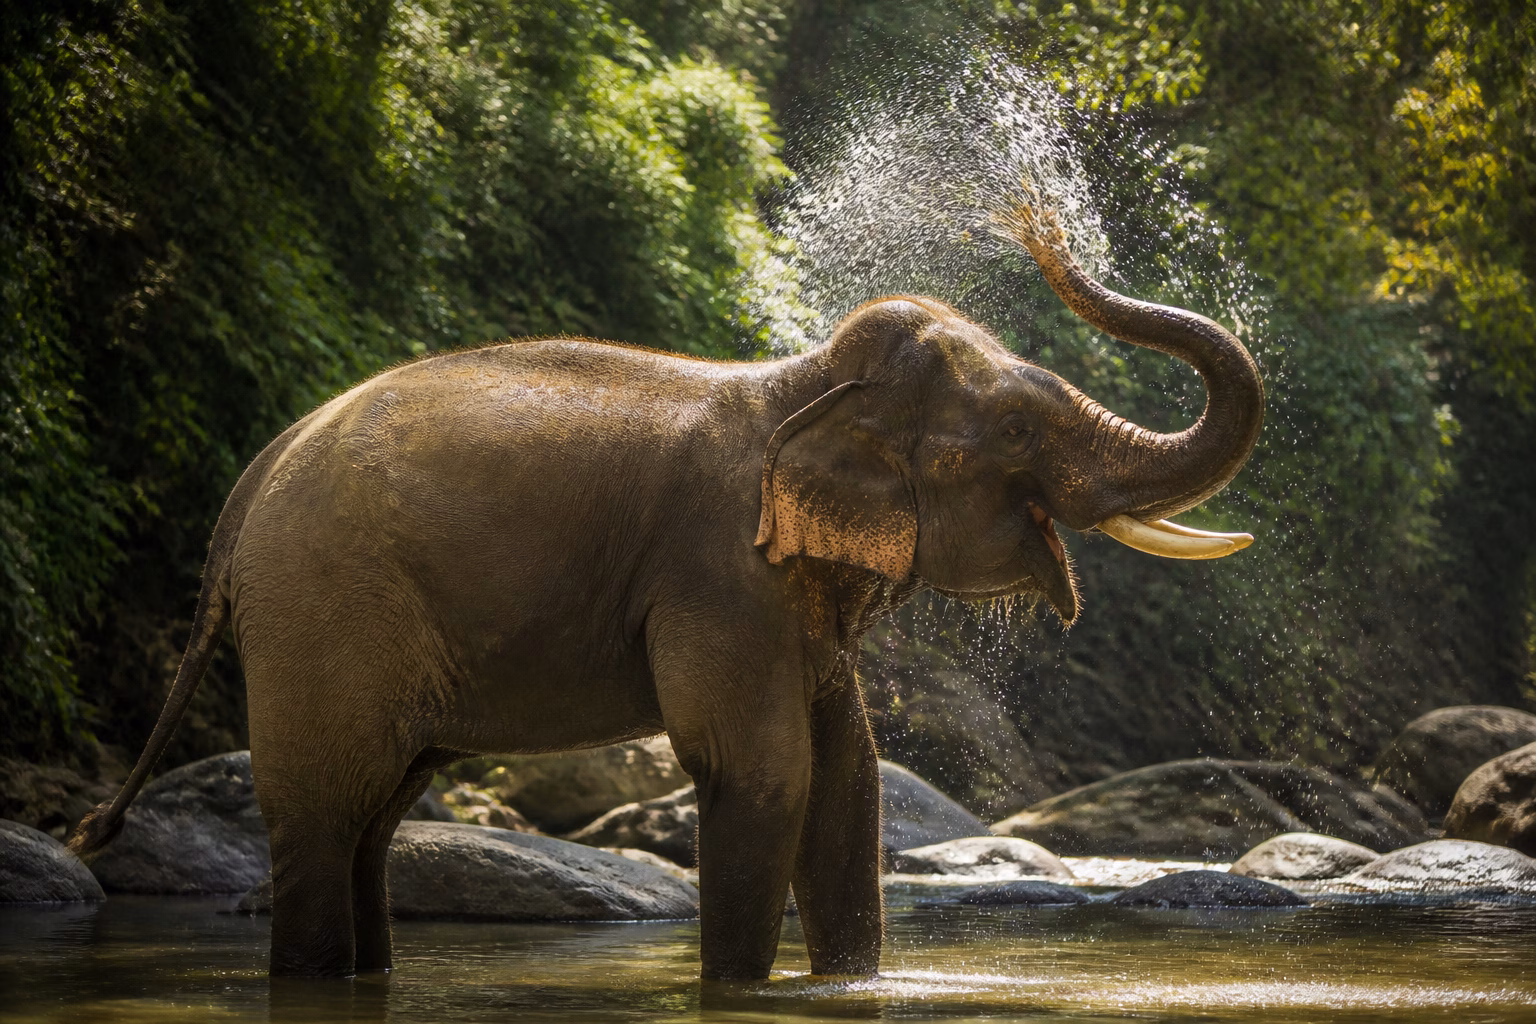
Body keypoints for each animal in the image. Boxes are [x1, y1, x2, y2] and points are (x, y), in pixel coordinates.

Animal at [71, 199, 1262, 980]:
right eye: (1013, 431)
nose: (1042, 228)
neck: (800, 381)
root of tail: (251, 484)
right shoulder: (718, 571)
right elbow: (766, 773)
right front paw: (741, 988)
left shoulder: (786, 591)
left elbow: (850, 781)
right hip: (323, 608)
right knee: (323, 808)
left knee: (374, 810)